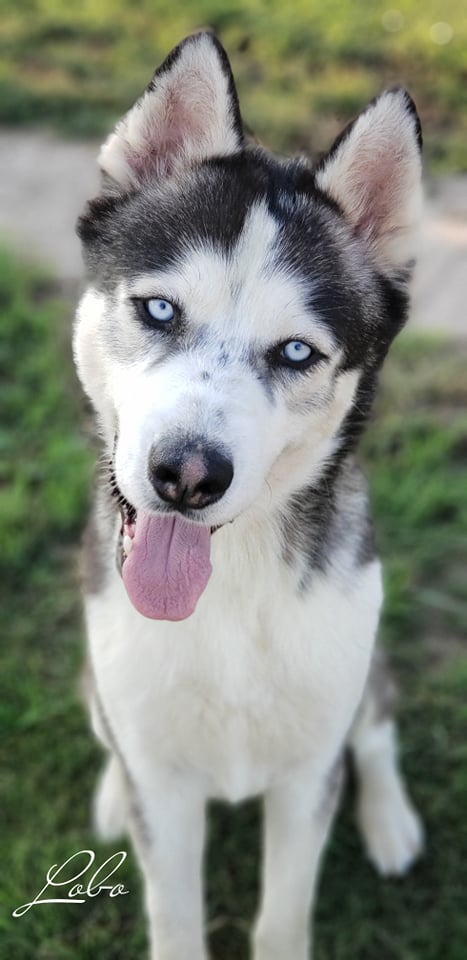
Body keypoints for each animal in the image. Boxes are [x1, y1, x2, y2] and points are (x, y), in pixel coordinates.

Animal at [74, 32, 424, 960]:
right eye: (160, 309)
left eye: (296, 352)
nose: (188, 475)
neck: (224, 597)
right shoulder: (162, 781)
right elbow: (173, 911)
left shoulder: (306, 776)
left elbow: (283, 912)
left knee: (375, 728)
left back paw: (389, 820)